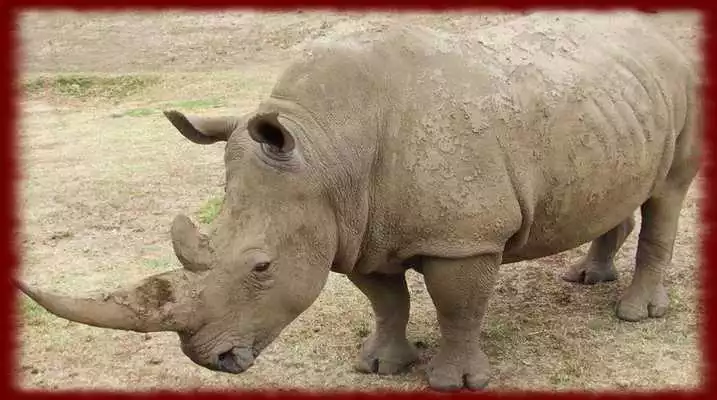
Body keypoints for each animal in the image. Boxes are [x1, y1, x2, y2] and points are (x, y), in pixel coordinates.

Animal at [18, 12, 700, 391]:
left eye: (261, 266)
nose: (213, 360)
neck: (325, 148)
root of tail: (656, 32)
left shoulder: (465, 238)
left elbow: (458, 308)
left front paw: (454, 382)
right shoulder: (356, 227)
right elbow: (386, 300)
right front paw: (380, 367)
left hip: (686, 81)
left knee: (668, 193)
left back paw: (635, 314)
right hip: (611, 98)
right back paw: (586, 277)